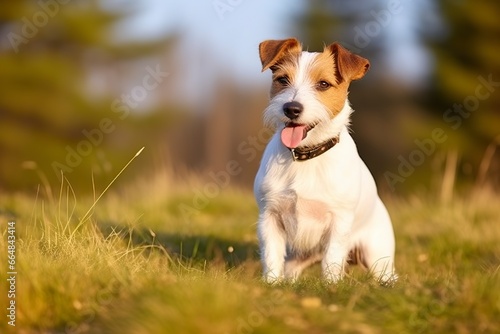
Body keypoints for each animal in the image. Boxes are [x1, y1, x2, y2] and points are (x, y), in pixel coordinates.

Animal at [256, 39, 396, 284]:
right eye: (282, 80)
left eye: (323, 84)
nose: (291, 108)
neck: (305, 156)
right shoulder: (269, 217)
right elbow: (272, 256)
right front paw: (272, 284)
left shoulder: (338, 223)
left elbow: (331, 260)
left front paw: (330, 286)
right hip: (298, 257)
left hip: (378, 258)